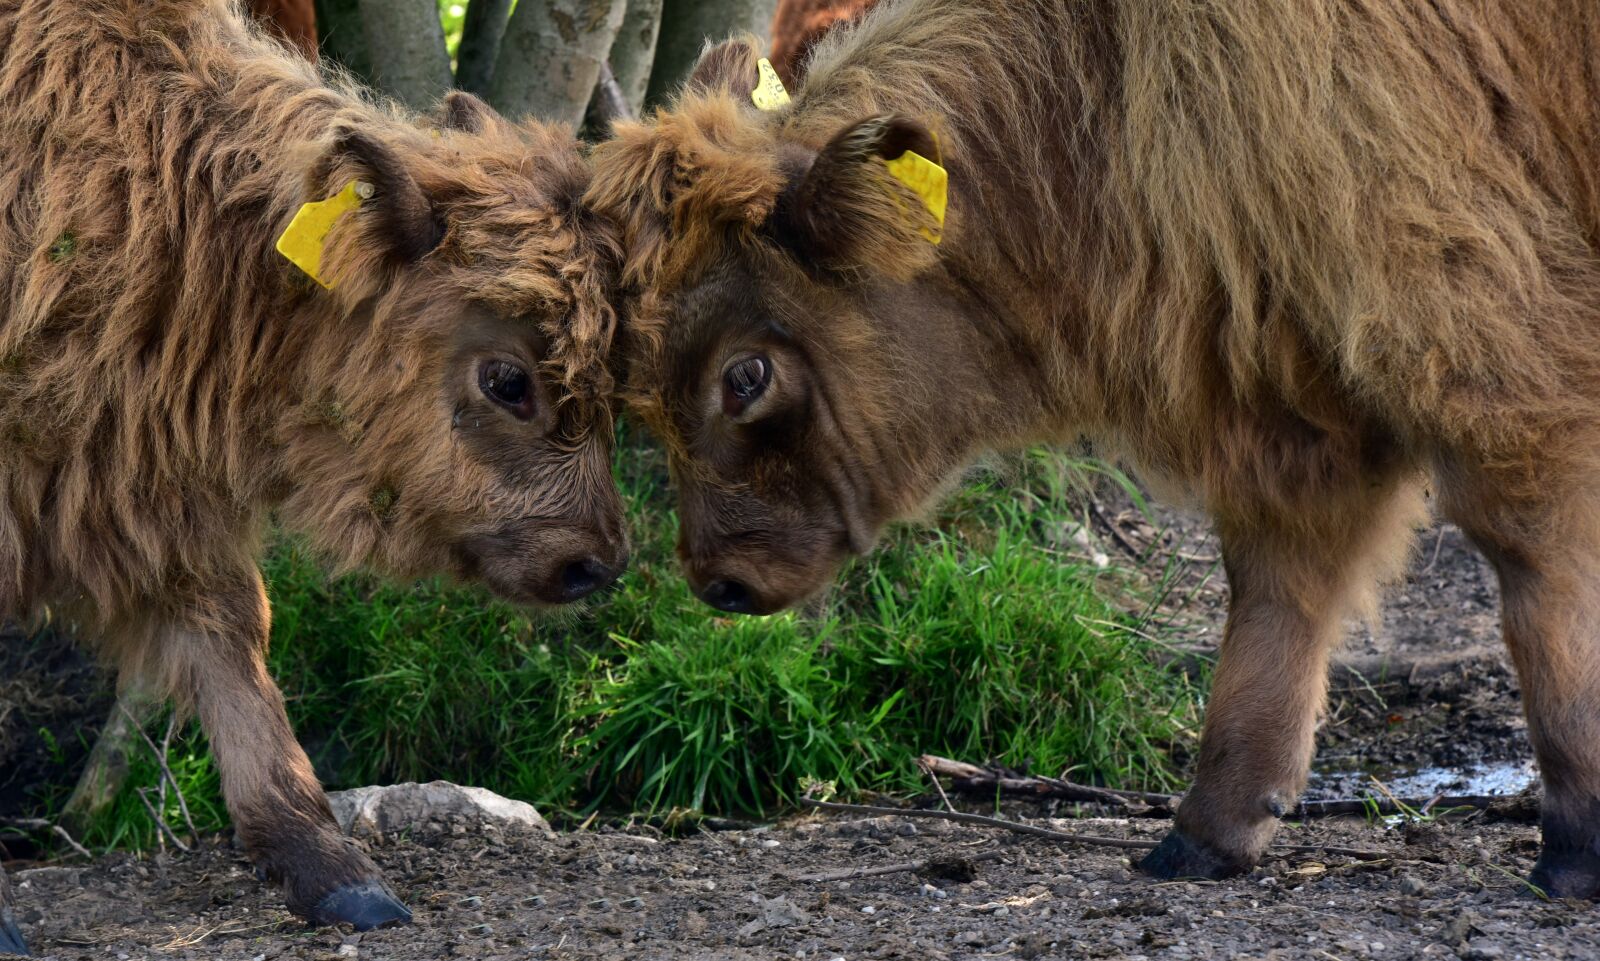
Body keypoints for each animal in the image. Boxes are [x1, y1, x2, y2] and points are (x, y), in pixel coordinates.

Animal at [587, 0, 1600, 901]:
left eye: (746, 373)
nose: (717, 577)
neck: (1105, 86)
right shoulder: (1295, 393)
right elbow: (1277, 588)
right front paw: (1204, 834)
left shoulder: (1477, 328)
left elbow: (1539, 578)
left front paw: (1576, 849)